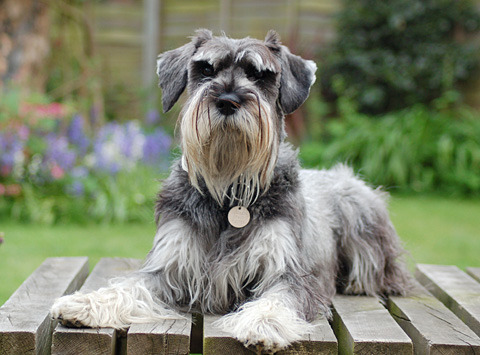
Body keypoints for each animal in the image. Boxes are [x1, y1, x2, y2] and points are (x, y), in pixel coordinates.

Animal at [49, 30, 412, 354]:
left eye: (260, 75)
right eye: (206, 70)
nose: (227, 100)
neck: (229, 191)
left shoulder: (289, 272)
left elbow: (279, 297)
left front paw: (264, 323)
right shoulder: (169, 267)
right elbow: (129, 285)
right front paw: (85, 302)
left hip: (360, 208)